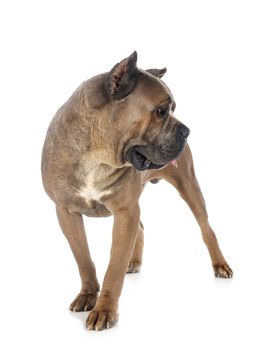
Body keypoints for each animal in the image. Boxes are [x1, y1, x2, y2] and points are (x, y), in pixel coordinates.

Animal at [41, 51, 234, 330]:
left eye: (173, 109)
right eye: (162, 111)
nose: (186, 130)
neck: (97, 155)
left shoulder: (125, 212)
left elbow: (113, 268)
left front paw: (105, 310)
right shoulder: (67, 212)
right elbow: (83, 258)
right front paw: (88, 294)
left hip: (189, 186)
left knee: (206, 229)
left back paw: (220, 264)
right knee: (141, 228)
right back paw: (134, 261)